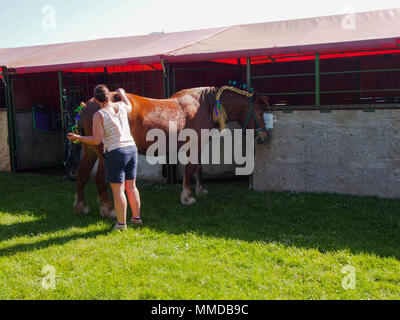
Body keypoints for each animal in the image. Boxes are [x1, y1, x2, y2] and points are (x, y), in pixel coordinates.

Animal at [73, 85, 270, 218]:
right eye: (260, 113)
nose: (264, 137)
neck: (204, 105)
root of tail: (87, 105)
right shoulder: (194, 145)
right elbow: (190, 170)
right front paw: (187, 197)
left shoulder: (199, 147)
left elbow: (199, 168)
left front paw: (200, 190)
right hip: (104, 155)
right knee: (99, 178)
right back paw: (109, 210)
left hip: (89, 151)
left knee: (81, 174)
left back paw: (81, 207)